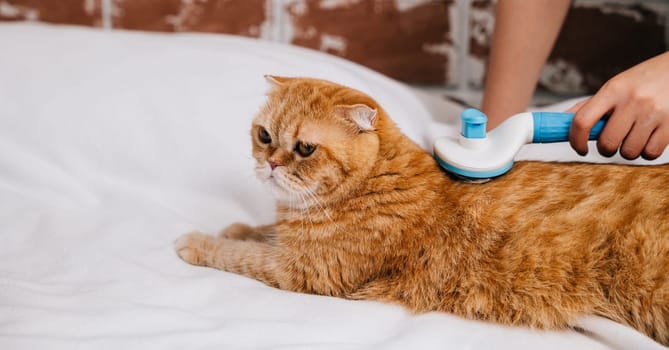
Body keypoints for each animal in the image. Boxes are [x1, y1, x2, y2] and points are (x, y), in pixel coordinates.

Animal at [176, 76, 668, 344]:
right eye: (263, 136)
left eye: (305, 148)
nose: (272, 164)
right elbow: (257, 234)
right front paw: (238, 226)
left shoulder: (304, 272)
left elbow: (241, 256)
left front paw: (198, 241)